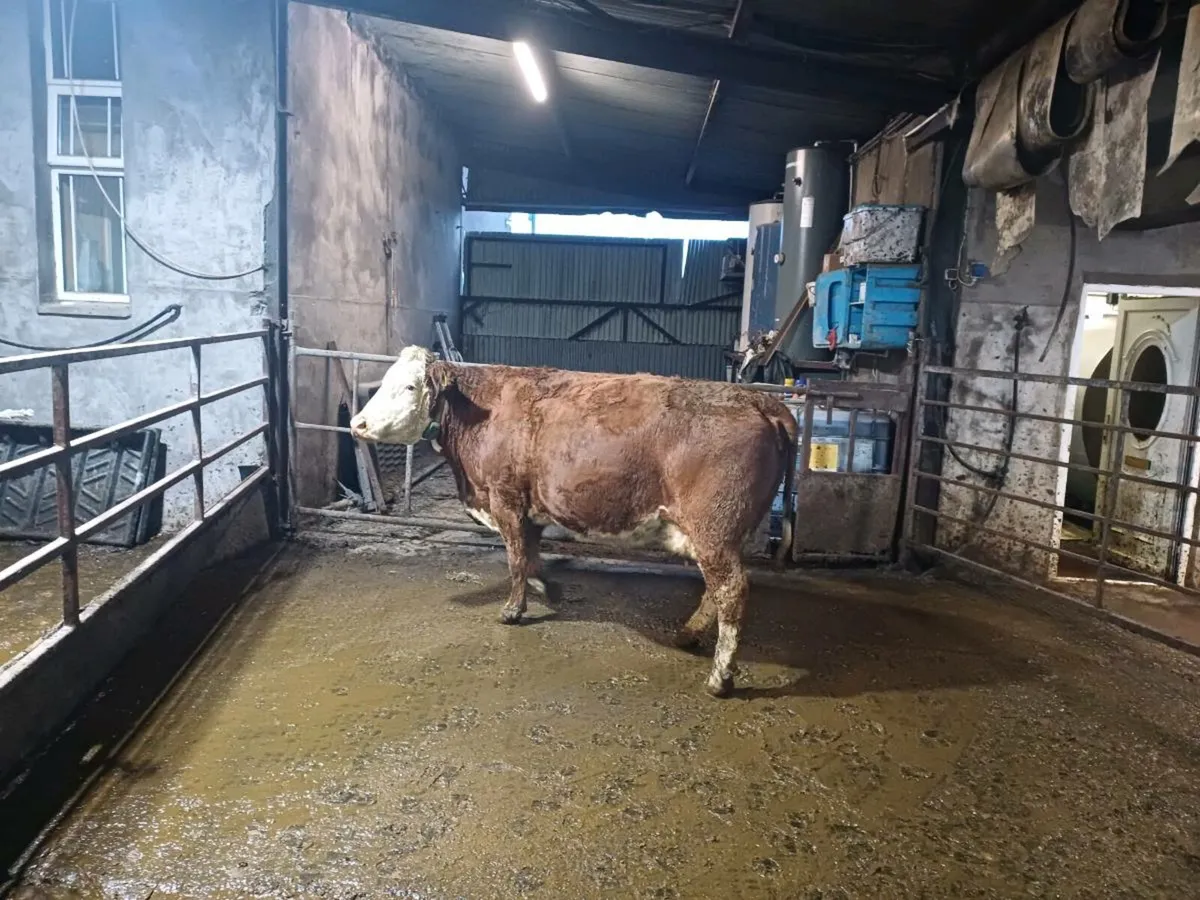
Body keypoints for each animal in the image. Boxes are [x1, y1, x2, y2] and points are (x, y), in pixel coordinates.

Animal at [350, 347, 798, 697]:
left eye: (410, 386)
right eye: (385, 381)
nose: (357, 423)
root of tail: (759, 400)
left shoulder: (504, 499)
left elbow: (515, 560)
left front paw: (512, 611)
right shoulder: (529, 510)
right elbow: (530, 556)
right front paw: (548, 587)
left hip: (714, 531)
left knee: (731, 591)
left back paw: (720, 678)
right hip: (719, 536)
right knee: (715, 592)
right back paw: (687, 636)